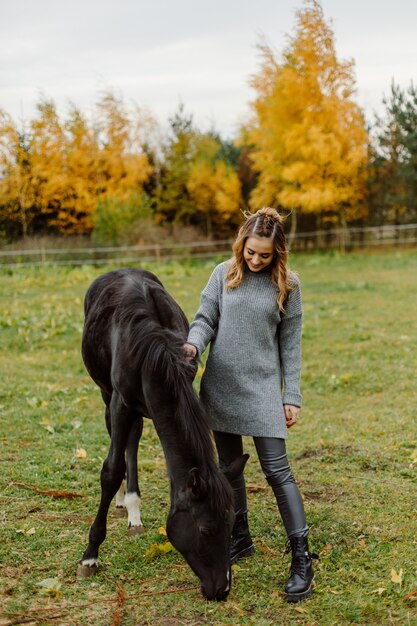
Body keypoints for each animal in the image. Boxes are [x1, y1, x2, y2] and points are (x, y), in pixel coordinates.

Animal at [76, 268, 245, 600]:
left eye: (232, 522)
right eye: (206, 529)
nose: (222, 589)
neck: (152, 353)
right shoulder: (120, 402)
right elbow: (111, 469)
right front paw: (90, 555)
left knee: (133, 439)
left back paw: (133, 509)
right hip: (107, 393)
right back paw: (122, 501)